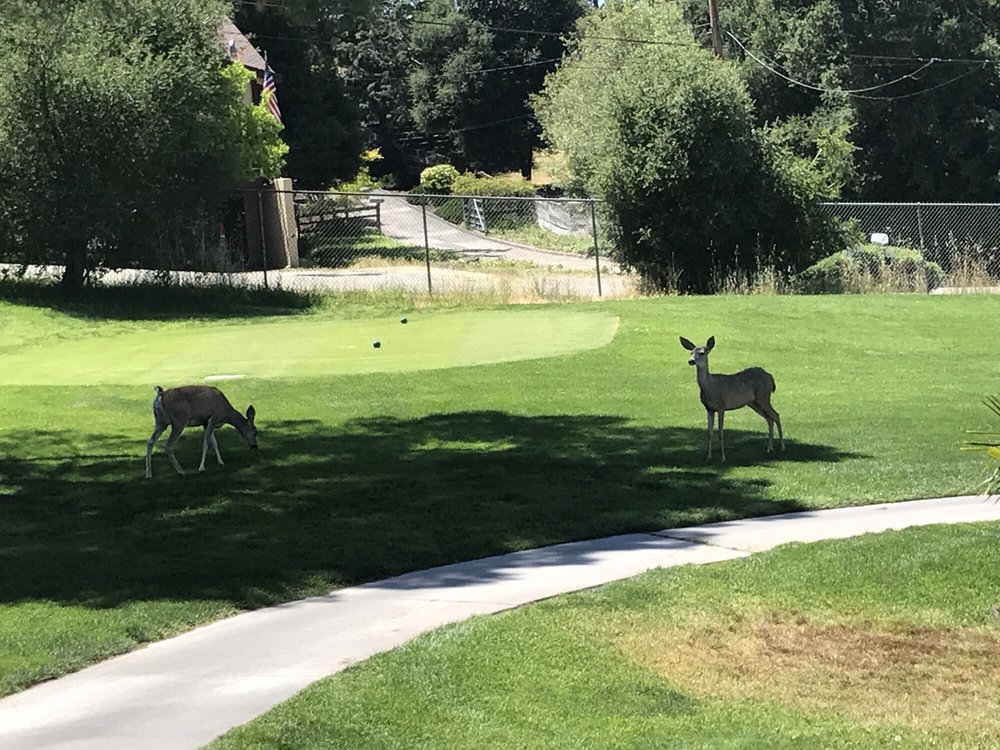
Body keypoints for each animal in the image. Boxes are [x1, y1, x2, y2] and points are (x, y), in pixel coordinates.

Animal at [676, 336, 784, 464]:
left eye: (702, 353)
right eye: (691, 353)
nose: (691, 361)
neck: (709, 387)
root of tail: (770, 376)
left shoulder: (721, 406)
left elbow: (720, 433)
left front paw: (723, 457)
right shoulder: (709, 409)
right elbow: (709, 433)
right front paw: (708, 457)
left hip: (763, 397)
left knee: (776, 415)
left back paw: (781, 446)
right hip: (753, 402)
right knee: (769, 418)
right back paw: (769, 448)